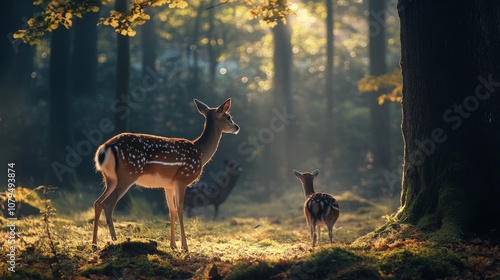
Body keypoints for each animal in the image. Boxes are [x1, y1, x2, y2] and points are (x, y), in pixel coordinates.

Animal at [92, 99, 240, 252]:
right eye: (228, 116)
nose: (237, 127)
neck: (200, 153)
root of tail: (104, 148)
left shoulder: (168, 185)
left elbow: (171, 210)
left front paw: (173, 245)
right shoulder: (183, 179)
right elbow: (180, 209)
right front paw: (185, 247)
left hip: (110, 178)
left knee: (97, 202)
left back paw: (95, 243)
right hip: (127, 175)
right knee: (107, 203)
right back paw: (114, 239)